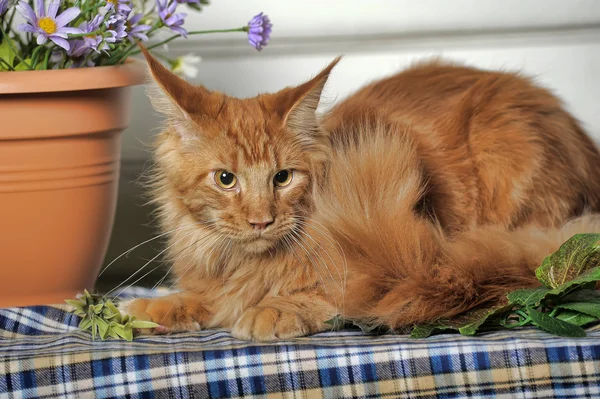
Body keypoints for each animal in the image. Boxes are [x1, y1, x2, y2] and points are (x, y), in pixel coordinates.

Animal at [120, 47, 600, 340]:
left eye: (282, 178)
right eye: (225, 179)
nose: (261, 220)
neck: (249, 264)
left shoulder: (390, 266)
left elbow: (324, 293)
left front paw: (272, 308)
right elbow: (200, 299)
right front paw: (149, 309)